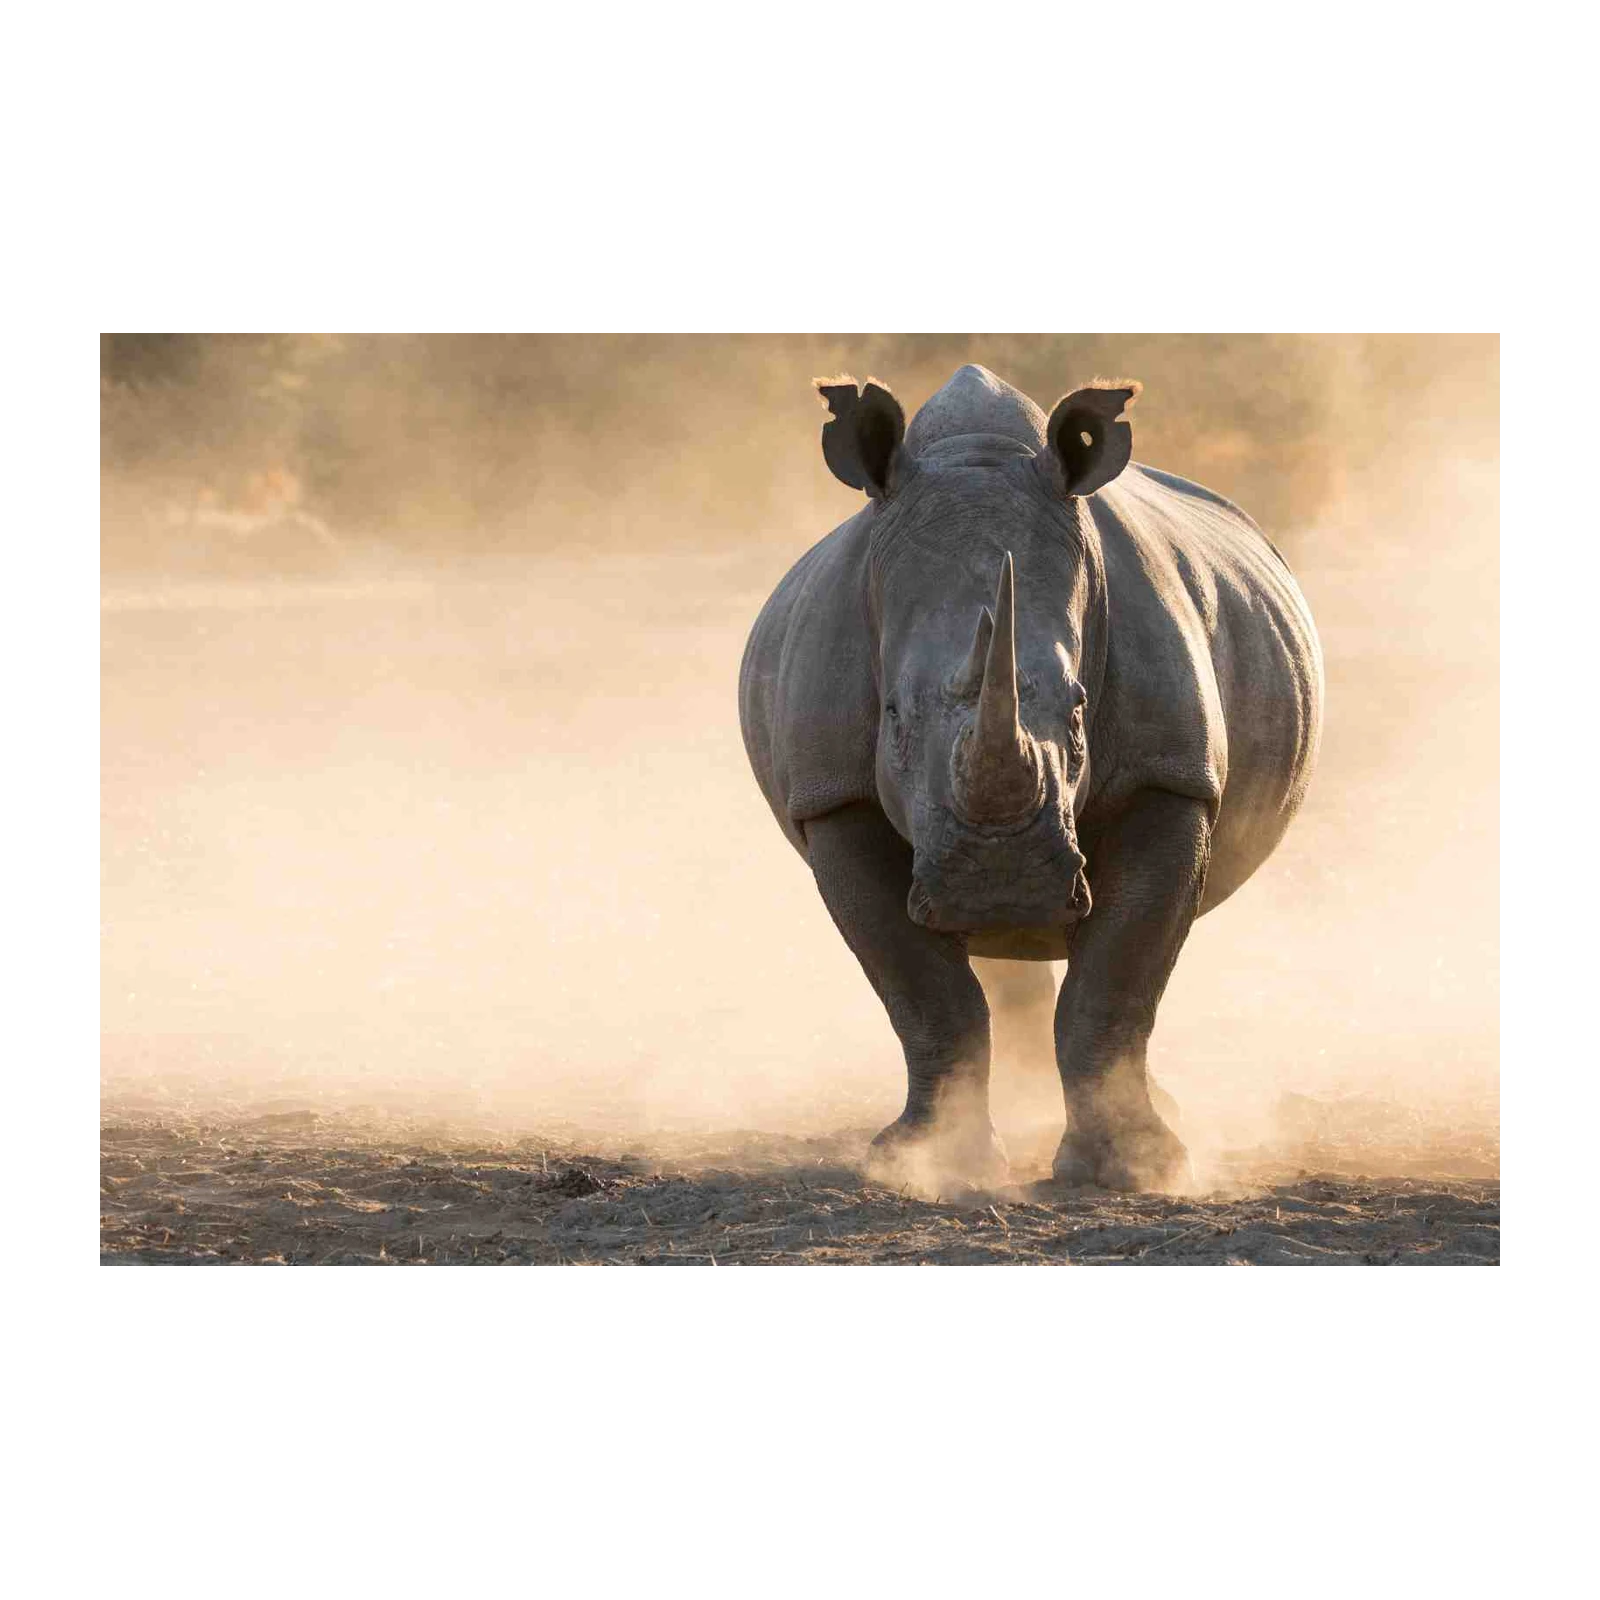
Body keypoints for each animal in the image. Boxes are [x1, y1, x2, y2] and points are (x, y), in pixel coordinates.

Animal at [739, 365, 1323, 1191]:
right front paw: (926, 1163)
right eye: (891, 716)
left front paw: (1131, 1171)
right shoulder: (831, 796)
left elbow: (1118, 978)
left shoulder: (1170, 778)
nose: (999, 882)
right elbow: (923, 993)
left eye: (1079, 708)